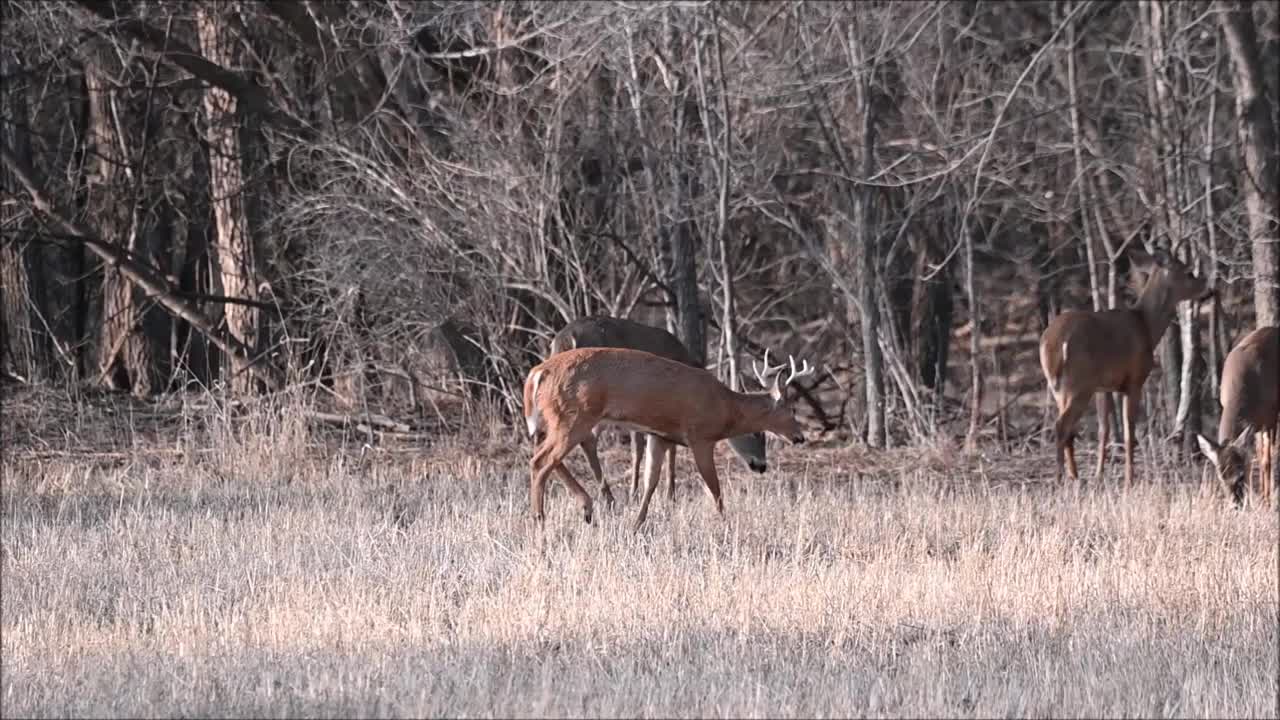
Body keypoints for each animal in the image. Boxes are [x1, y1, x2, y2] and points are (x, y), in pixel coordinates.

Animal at [519, 345, 808, 530]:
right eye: (791, 410)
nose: (800, 437)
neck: (725, 407)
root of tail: (537, 374)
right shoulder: (700, 436)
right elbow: (714, 488)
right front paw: (726, 525)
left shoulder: (659, 436)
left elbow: (651, 483)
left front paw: (636, 525)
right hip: (575, 415)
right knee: (541, 461)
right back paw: (539, 519)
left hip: (562, 418)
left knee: (542, 456)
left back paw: (586, 509)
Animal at [545, 313, 762, 504]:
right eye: (756, 432)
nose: (761, 465)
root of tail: (565, 339)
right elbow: (655, 448)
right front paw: (665, 495)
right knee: (585, 439)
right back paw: (606, 498)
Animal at [1039, 243, 1208, 484]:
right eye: (1188, 272)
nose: (1206, 286)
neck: (1146, 325)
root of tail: (1051, 343)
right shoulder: (1134, 380)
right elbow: (1129, 432)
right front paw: (1130, 478)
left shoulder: (1104, 386)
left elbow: (1105, 429)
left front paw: (1099, 474)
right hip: (1078, 384)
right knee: (1061, 426)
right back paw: (1059, 477)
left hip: (1061, 387)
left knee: (1069, 429)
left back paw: (1075, 476)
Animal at [1192, 325, 1274, 504]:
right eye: (1221, 477)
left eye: (1241, 475)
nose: (1235, 504)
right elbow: (1256, 456)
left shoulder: (1271, 417)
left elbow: (1267, 460)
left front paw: (1267, 502)